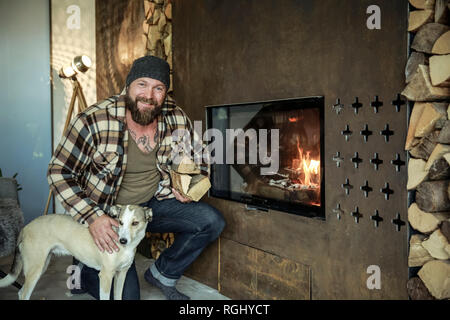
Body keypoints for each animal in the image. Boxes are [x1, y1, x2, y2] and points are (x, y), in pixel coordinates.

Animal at [0, 205, 152, 300]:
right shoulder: (106, 276)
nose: (122, 241)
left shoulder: (122, 274)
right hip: (35, 269)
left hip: (40, 266)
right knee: (24, 294)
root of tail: (25, 228)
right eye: (120, 222)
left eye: (135, 223)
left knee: (21, 292)